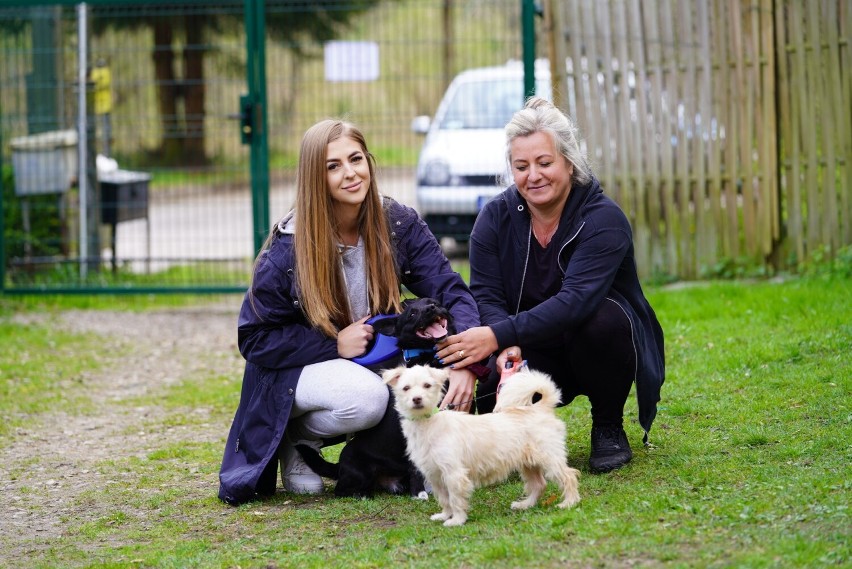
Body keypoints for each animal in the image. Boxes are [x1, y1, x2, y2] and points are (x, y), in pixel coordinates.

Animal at [296, 298, 472, 496]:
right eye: (412, 313)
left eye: (433, 302)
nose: (430, 308)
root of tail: (339, 465)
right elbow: (416, 467)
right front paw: (419, 494)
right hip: (360, 473)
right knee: (341, 491)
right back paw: (363, 495)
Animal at [384, 364, 580, 524]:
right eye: (406, 388)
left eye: (427, 385)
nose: (417, 399)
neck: (427, 424)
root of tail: (540, 407)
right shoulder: (435, 475)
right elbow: (445, 500)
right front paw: (444, 515)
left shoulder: (454, 474)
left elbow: (456, 499)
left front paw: (456, 520)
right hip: (528, 463)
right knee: (539, 484)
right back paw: (525, 505)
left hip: (549, 457)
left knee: (569, 476)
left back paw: (569, 503)